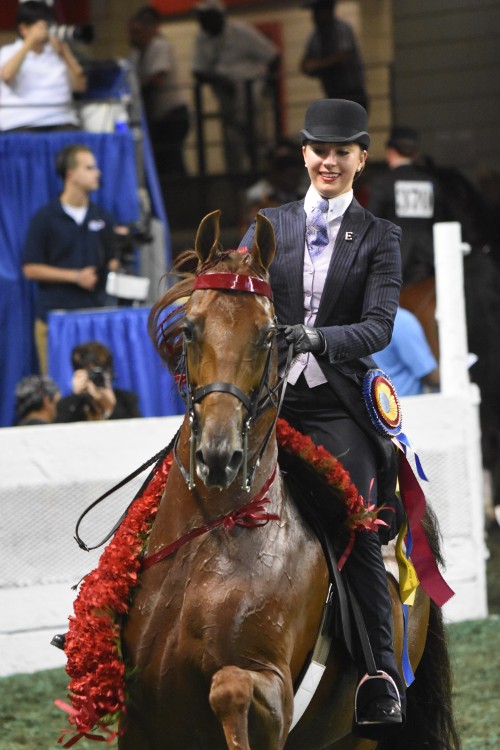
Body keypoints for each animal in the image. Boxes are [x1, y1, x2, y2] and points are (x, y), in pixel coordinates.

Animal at [119, 212, 458, 750]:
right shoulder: (137, 717)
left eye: (267, 335)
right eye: (190, 330)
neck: (208, 540)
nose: (219, 456)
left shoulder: (273, 694)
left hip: (357, 734)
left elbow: (229, 687)